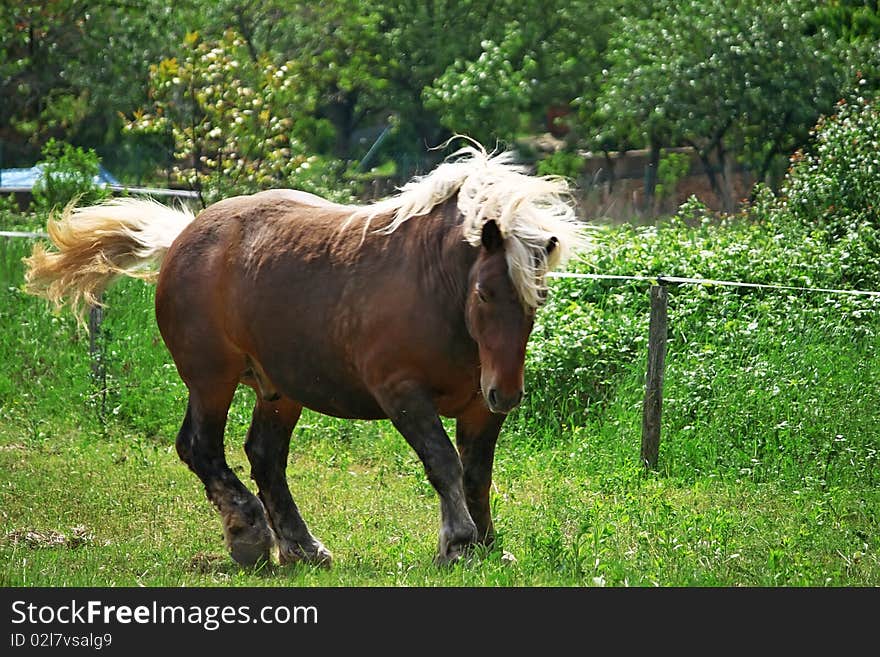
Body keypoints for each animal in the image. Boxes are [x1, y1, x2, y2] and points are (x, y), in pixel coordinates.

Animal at [22, 141, 584, 568]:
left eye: (539, 296)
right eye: (485, 293)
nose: (506, 392)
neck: (435, 287)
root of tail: (184, 235)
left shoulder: (478, 411)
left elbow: (476, 475)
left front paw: (487, 544)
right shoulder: (403, 394)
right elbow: (443, 462)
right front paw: (461, 544)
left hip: (279, 390)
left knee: (264, 457)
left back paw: (300, 545)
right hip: (211, 378)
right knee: (200, 448)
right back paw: (249, 533)